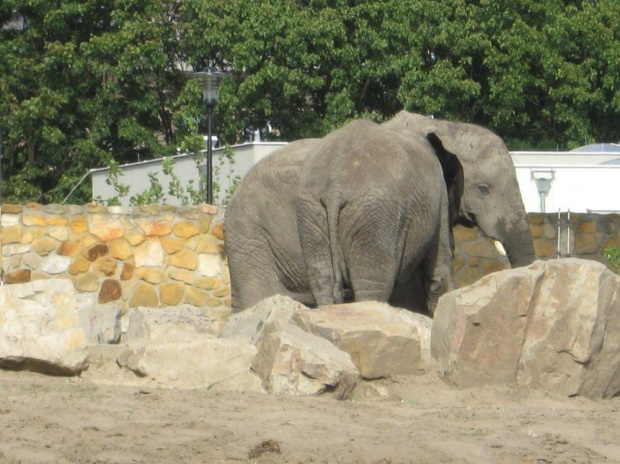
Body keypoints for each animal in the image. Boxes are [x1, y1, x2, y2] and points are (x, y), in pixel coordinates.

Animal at [225, 111, 536, 314]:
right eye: (483, 189)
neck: (447, 126)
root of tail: (335, 186)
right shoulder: (434, 200)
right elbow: (436, 271)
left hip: (311, 215)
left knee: (322, 281)